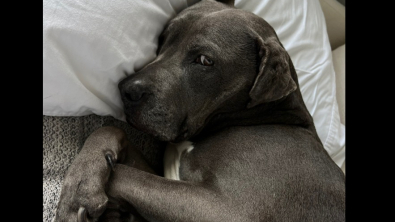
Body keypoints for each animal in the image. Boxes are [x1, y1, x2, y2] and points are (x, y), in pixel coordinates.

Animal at [53, 0, 346, 221]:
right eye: (163, 39)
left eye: (205, 60)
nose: (127, 89)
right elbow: (111, 131)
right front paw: (85, 176)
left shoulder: (224, 209)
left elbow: (127, 175)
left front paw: (78, 193)